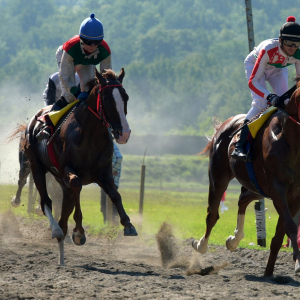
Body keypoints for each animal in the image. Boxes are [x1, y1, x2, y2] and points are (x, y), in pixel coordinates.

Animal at [15, 68, 137, 264]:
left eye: (125, 97)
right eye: (107, 98)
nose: (123, 133)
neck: (90, 133)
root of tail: (33, 121)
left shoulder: (103, 172)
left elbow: (115, 194)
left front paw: (128, 224)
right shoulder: (67, 170)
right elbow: (77, 185)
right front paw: (79, 231)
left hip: (58, 180)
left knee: (64, 210)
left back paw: (61, 247)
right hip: (37, 166)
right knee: (45, 200)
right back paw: (55, 229)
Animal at [193, 80, 300, 276]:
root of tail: (224, 124)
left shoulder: (293, 195)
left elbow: (280, 234)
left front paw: (270, 272)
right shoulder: (278, 189)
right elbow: (290, 226)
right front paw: (297, 262)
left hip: (257, 187)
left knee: (242, 198)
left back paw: (234, 239)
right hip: (218, 177)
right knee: (212, 214)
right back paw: (201, 245)